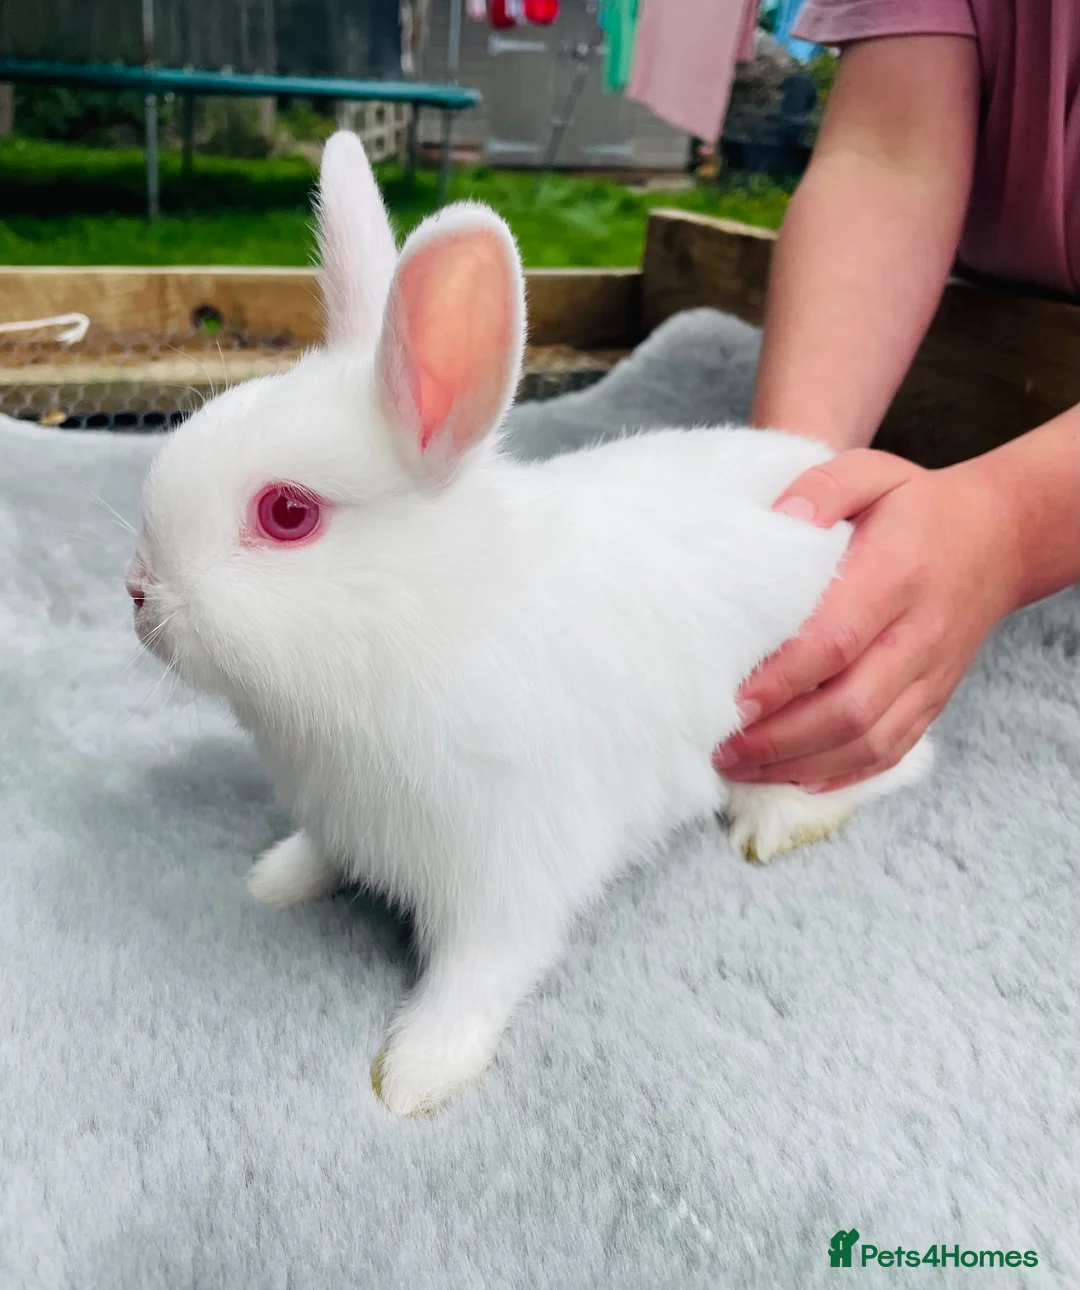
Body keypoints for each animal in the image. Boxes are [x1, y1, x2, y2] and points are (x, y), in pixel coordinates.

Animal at [127, 131, 932, 1117]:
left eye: (287, 514)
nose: (139, 593)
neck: (427, 625)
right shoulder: (345, 819)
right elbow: (321, 856)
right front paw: (276, 880)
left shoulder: (509, 872)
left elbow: (477, 975)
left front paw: (416, 1074)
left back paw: (774, 826)